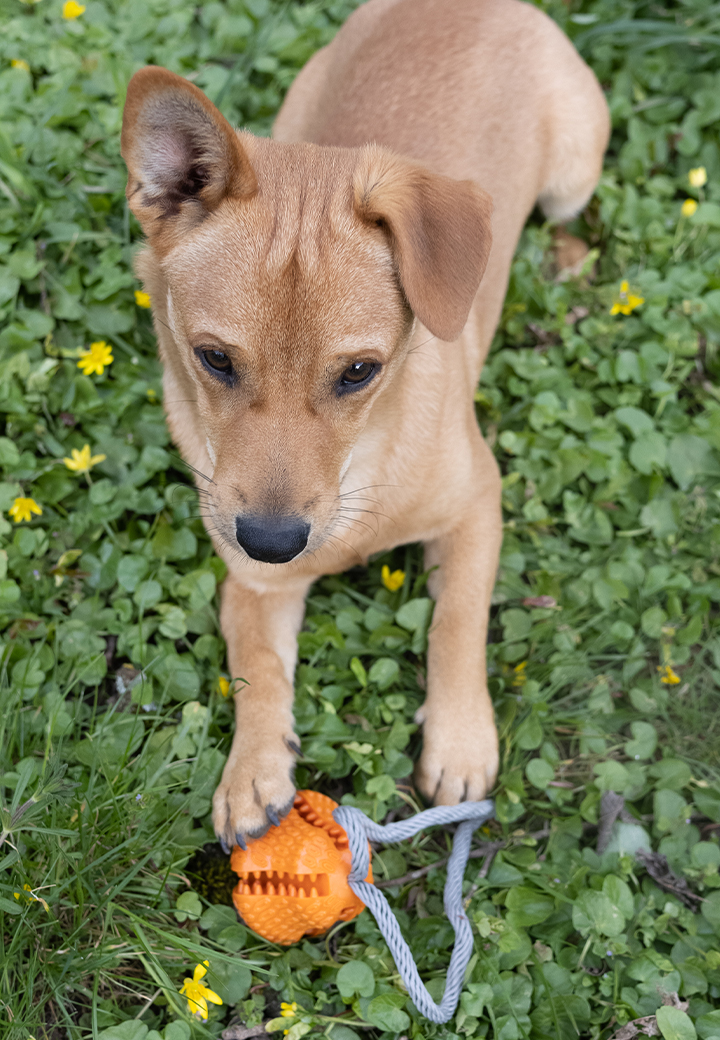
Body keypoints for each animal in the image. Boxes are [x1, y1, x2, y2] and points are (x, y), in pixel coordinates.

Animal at [122, 0, 607, 848]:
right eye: (212, 359)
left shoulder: (478, 504)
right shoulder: (252, 583)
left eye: (358, 372)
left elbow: (458, 621)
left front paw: (459, 739)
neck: (363, 475)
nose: (273, 540)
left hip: (573, 180)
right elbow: (257, 666)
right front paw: (253, 769)